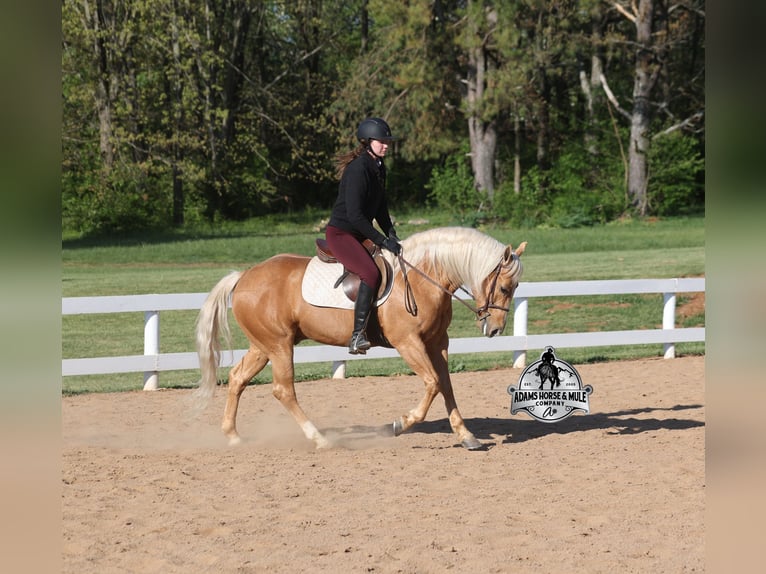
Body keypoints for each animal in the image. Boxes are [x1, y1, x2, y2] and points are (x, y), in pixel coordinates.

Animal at [194, 226, 527, 450]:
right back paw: (320, 439)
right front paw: (400, 423)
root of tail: (244, 277)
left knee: (238, 378)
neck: (423, 277)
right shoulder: (409, 343)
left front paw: (467, 435)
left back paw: (233, 435)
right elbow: (432, 383)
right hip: (279, 346)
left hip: (263, 346)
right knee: (283, 390)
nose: (495, 329)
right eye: (505, 287)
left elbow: (445, 385)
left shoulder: (436, 343)